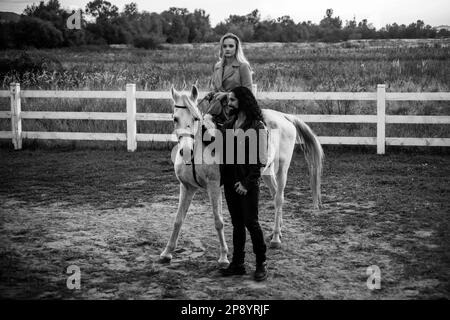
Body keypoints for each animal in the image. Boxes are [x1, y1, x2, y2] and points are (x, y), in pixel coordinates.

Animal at [160, 85, 322, 268]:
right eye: (175, 119)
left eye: (195, 118)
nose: (186, 151)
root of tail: (284, 117)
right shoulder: (187, 187)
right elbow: (178, 220)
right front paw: (167, 253)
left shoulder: (213, 186)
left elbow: (218, 221)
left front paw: (224, 257)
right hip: (266, 171)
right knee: (275, 195)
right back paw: (278, 230)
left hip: (282, 169)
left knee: (279, 198)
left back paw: (275, 238)